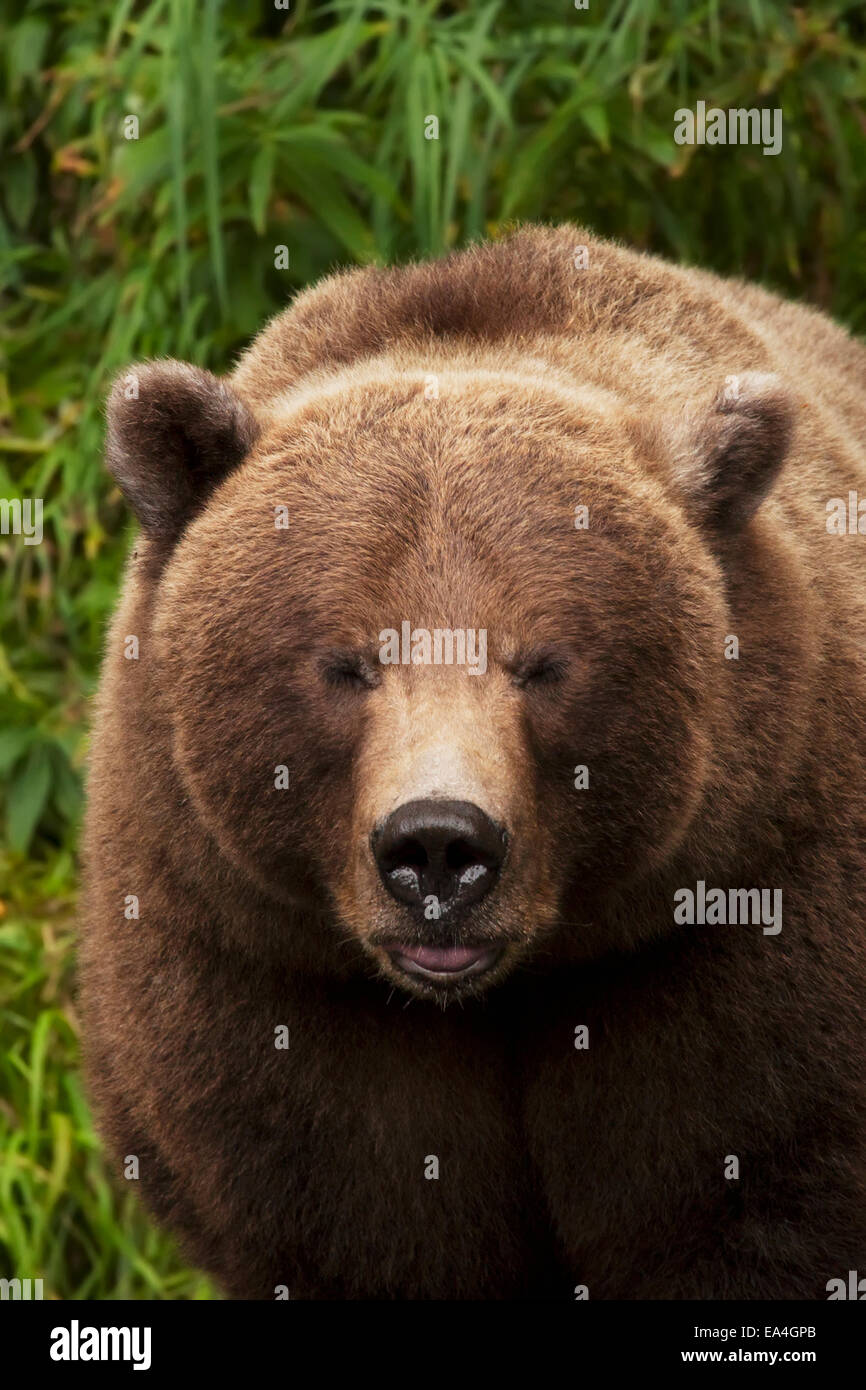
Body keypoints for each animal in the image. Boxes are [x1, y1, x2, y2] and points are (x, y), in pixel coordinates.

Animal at [80, 224, 866, 1300]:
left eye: (543, 663)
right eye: (347, 661)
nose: (440, 846)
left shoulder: (733, 922)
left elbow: (749, 1191)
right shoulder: (263, 962)